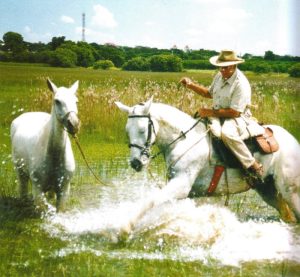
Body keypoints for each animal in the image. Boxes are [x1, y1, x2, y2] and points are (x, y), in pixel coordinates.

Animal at [11, 78, 80, 211]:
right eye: (57, 101)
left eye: (76, 101)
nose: (73, 124)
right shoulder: (38, 190)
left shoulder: (64, 190)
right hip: (20, 170)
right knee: (22, 186)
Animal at [116, 96, 300, 230]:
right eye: (127, 131)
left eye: (142, 130)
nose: (136, 163)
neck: (184, 139)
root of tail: (292, 141)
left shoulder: (181, 185)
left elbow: (151, 201)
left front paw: (124, 228)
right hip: (267, 189)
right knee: (288, 216)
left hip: (290, 191)